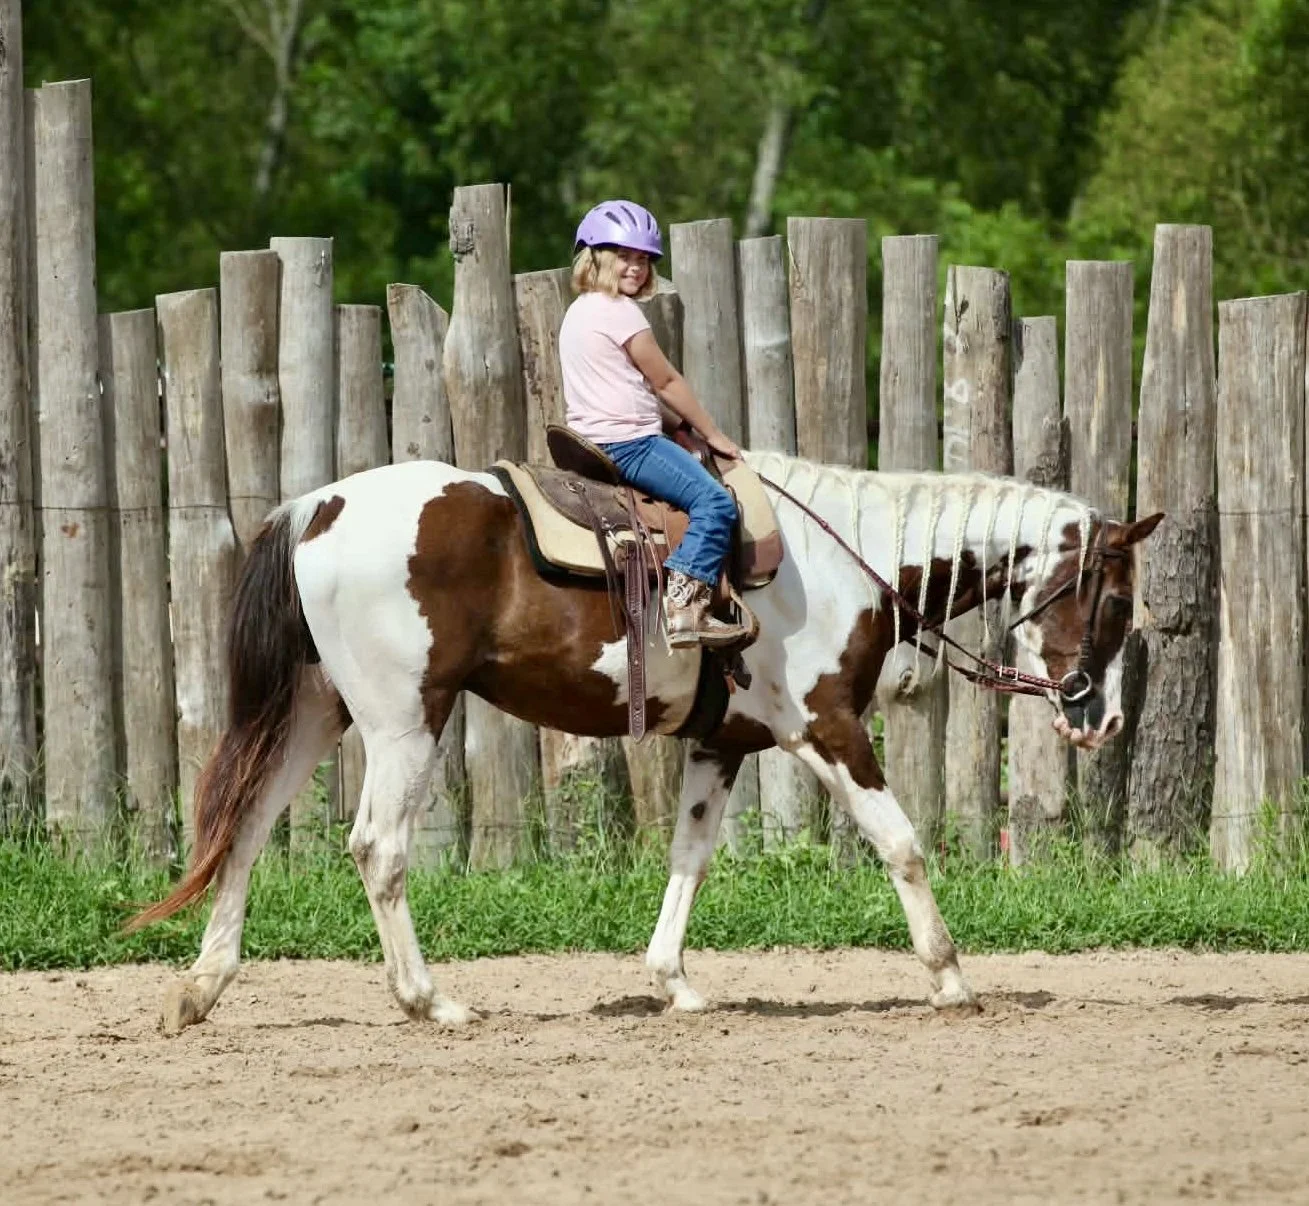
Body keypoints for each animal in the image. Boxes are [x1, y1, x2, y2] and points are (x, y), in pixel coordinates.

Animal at [129, 449, 1162, 1034]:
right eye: (1115, 602)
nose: (1102, 719)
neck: (845, 557)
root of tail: (321, 506)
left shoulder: (722, 743)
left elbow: (689, 858)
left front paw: (672, 984)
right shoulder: (824, 727)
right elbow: (900, 842)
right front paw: (948, 978)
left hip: (315, 709)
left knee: (245, 826)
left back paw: (200, 990)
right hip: (401, 717)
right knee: (377, 847)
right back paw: (431, 1002)